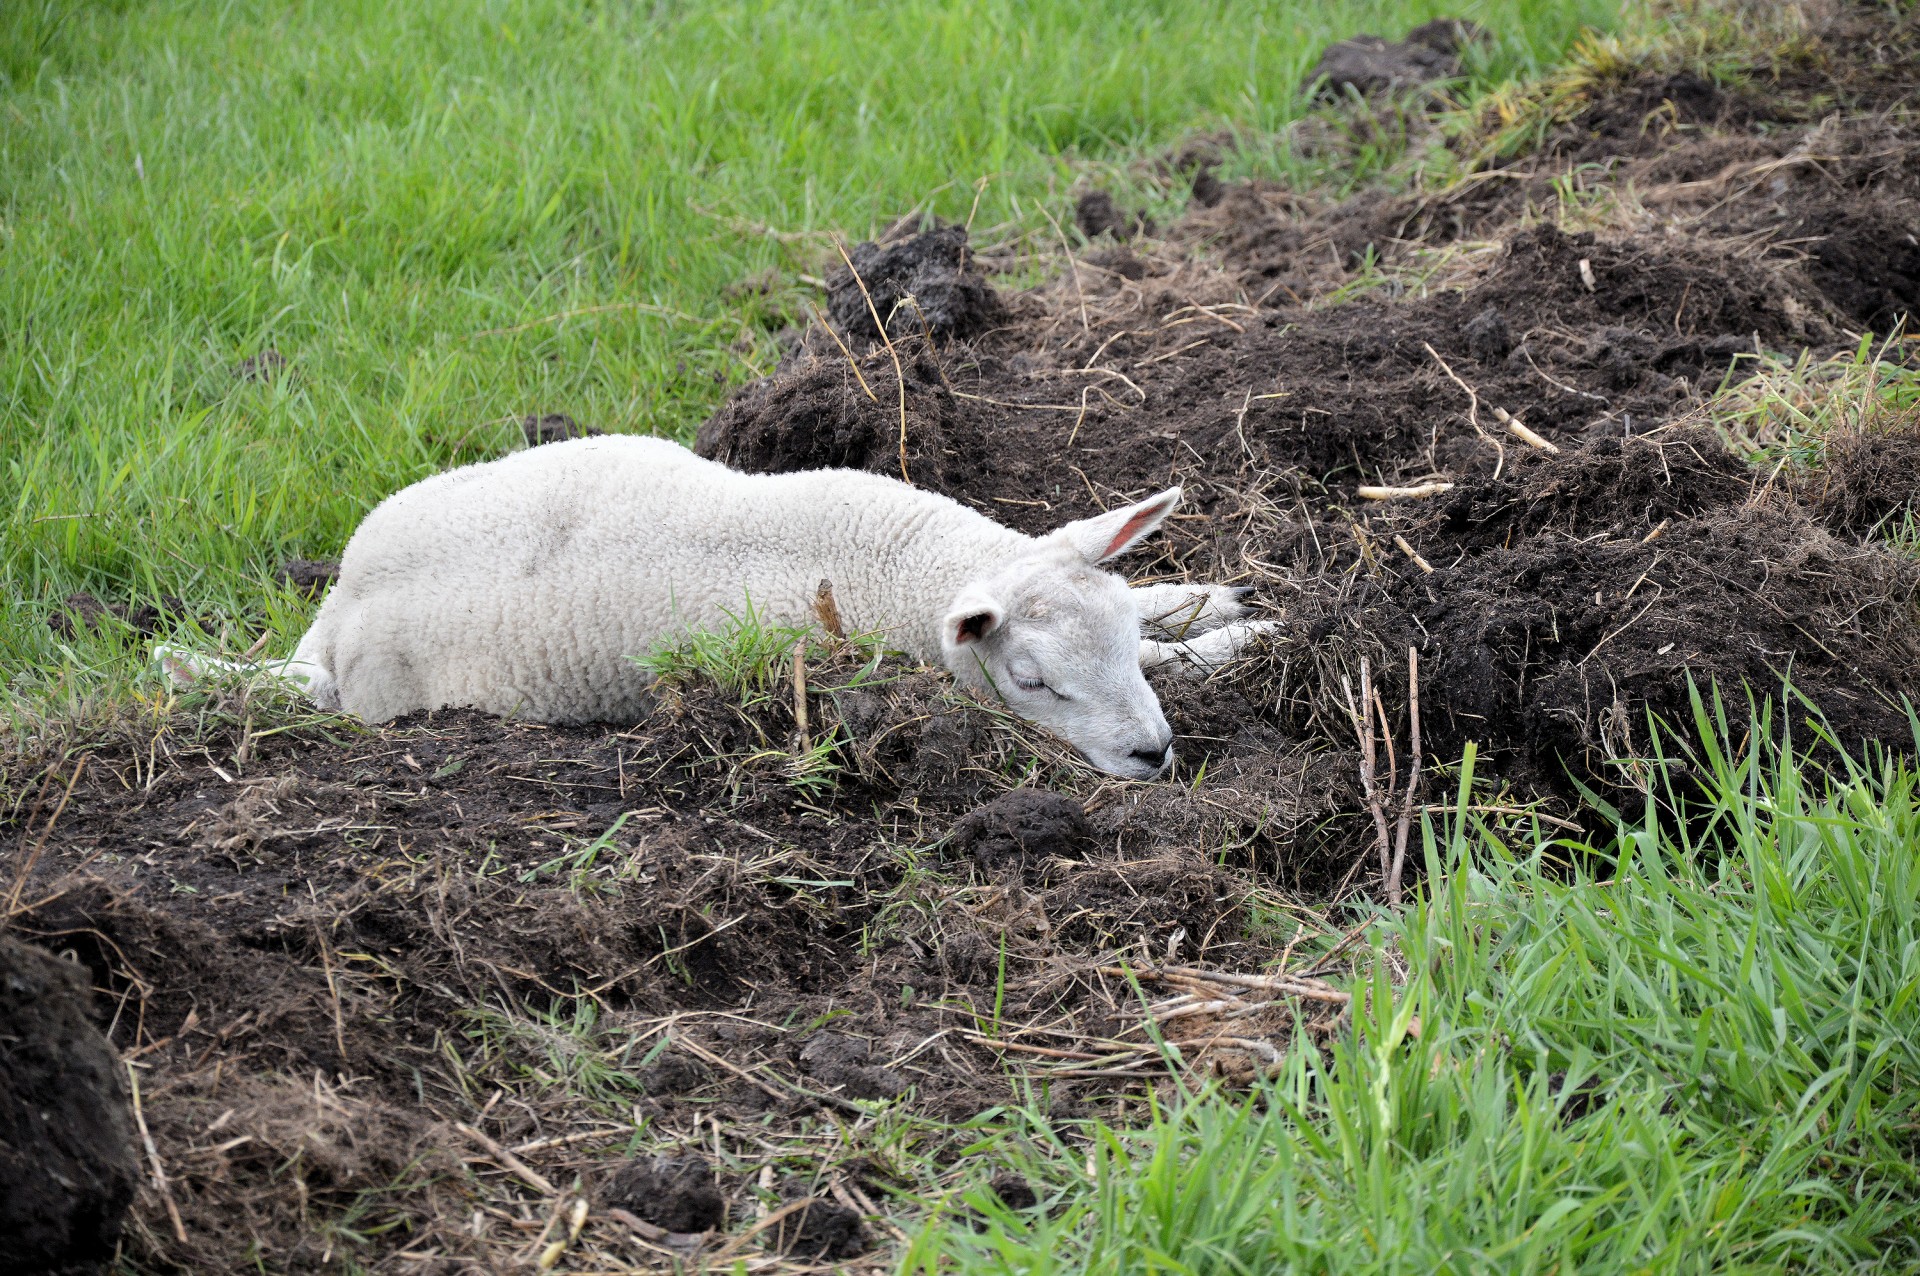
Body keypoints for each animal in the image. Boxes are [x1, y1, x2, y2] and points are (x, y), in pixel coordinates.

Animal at [161, 435, 1274, 775]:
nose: (1153, 754)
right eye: (1034, 683)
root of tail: (331, 621)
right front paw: (1237, 642)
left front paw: (1206, 600)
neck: (884, 558)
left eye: (1114, 628)